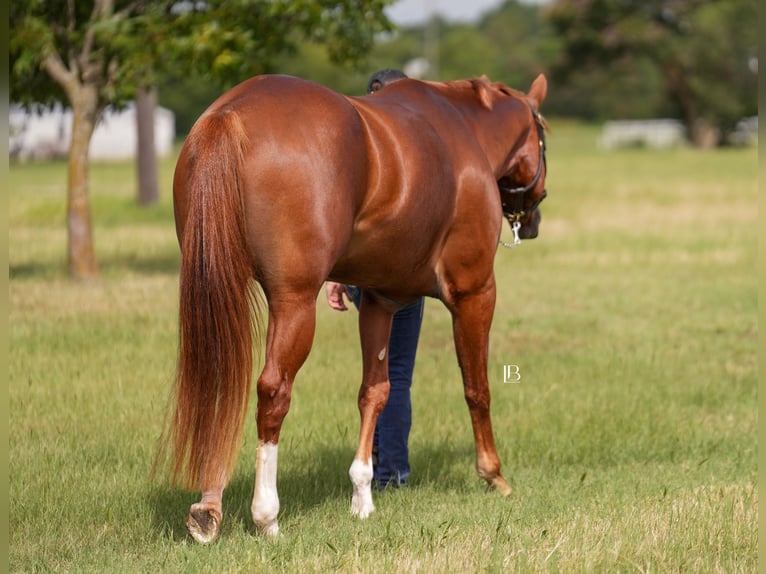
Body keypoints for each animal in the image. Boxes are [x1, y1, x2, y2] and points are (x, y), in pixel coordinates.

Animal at [160, 72, 549, 543]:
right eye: (543, 136)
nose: (533, 221)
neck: (465, 130)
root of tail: (231, 113)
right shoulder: (475, 291)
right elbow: (477, 387)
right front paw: (494, 475)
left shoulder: (380, 300)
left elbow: (375, 392)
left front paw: (363, 498)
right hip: (293, 302)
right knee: (273, 391)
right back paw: (267, 516)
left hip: (219, 285)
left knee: (219, 385)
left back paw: (208, 508)